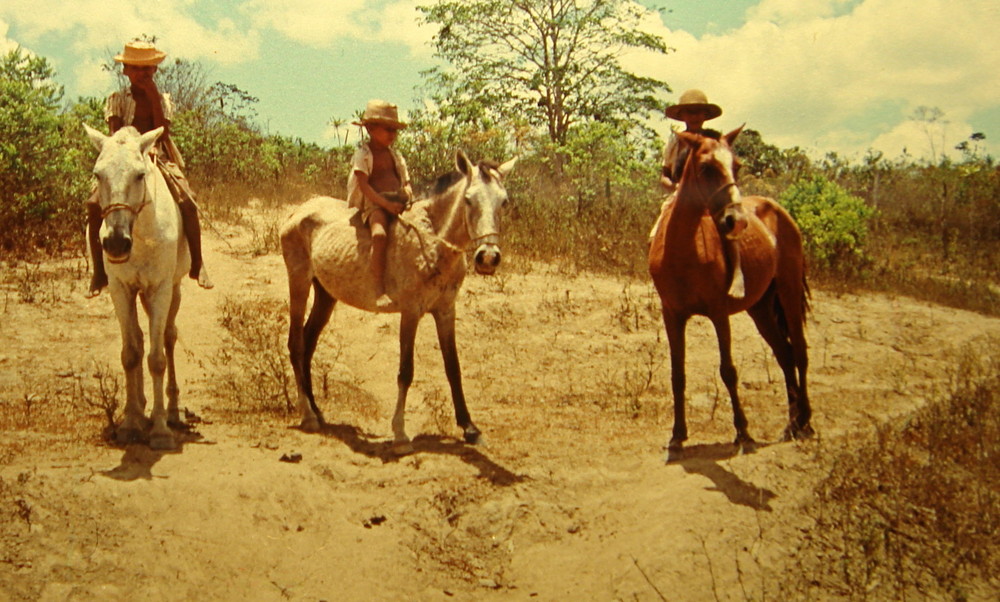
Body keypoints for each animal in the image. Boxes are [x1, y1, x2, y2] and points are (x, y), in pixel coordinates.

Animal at [85, 123, 190, 450]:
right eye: (98, 174)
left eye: (140, 175)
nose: (116, 243)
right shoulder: (121, 289)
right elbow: (131, 353)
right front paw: (131, 423)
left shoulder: (160, 290)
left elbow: (156, 359)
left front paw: (160, 431)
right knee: (142, 340)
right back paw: (142, 408)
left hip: (174, 290)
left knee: (168, 338)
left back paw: (170, 411)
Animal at [282, 149, 516, 450]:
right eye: (468, 199)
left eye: (504, 201)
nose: (488, 258)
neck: (433, 243)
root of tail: (298, 211)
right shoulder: (411, 312)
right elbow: (406, 371)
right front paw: (400, 433)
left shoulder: (445, 311)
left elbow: (453, 368)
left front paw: (470, 428)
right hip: (298, 283)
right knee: (296, 344)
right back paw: (308, 415)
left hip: (325, 294)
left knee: (309, 344)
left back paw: (317, 410)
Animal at [648, 124, 812, 458]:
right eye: (705, 168)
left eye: (737, 166)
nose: (736, 221)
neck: (682, 252)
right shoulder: (672, 315)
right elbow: (677, 374)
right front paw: (677, 435)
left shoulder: (719, 313)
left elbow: (728, 371)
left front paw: (743, 432)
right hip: (761, 309)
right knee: (785, 354)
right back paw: (791, 423)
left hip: (788, 292)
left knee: (800, 352)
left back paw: (805, 421)